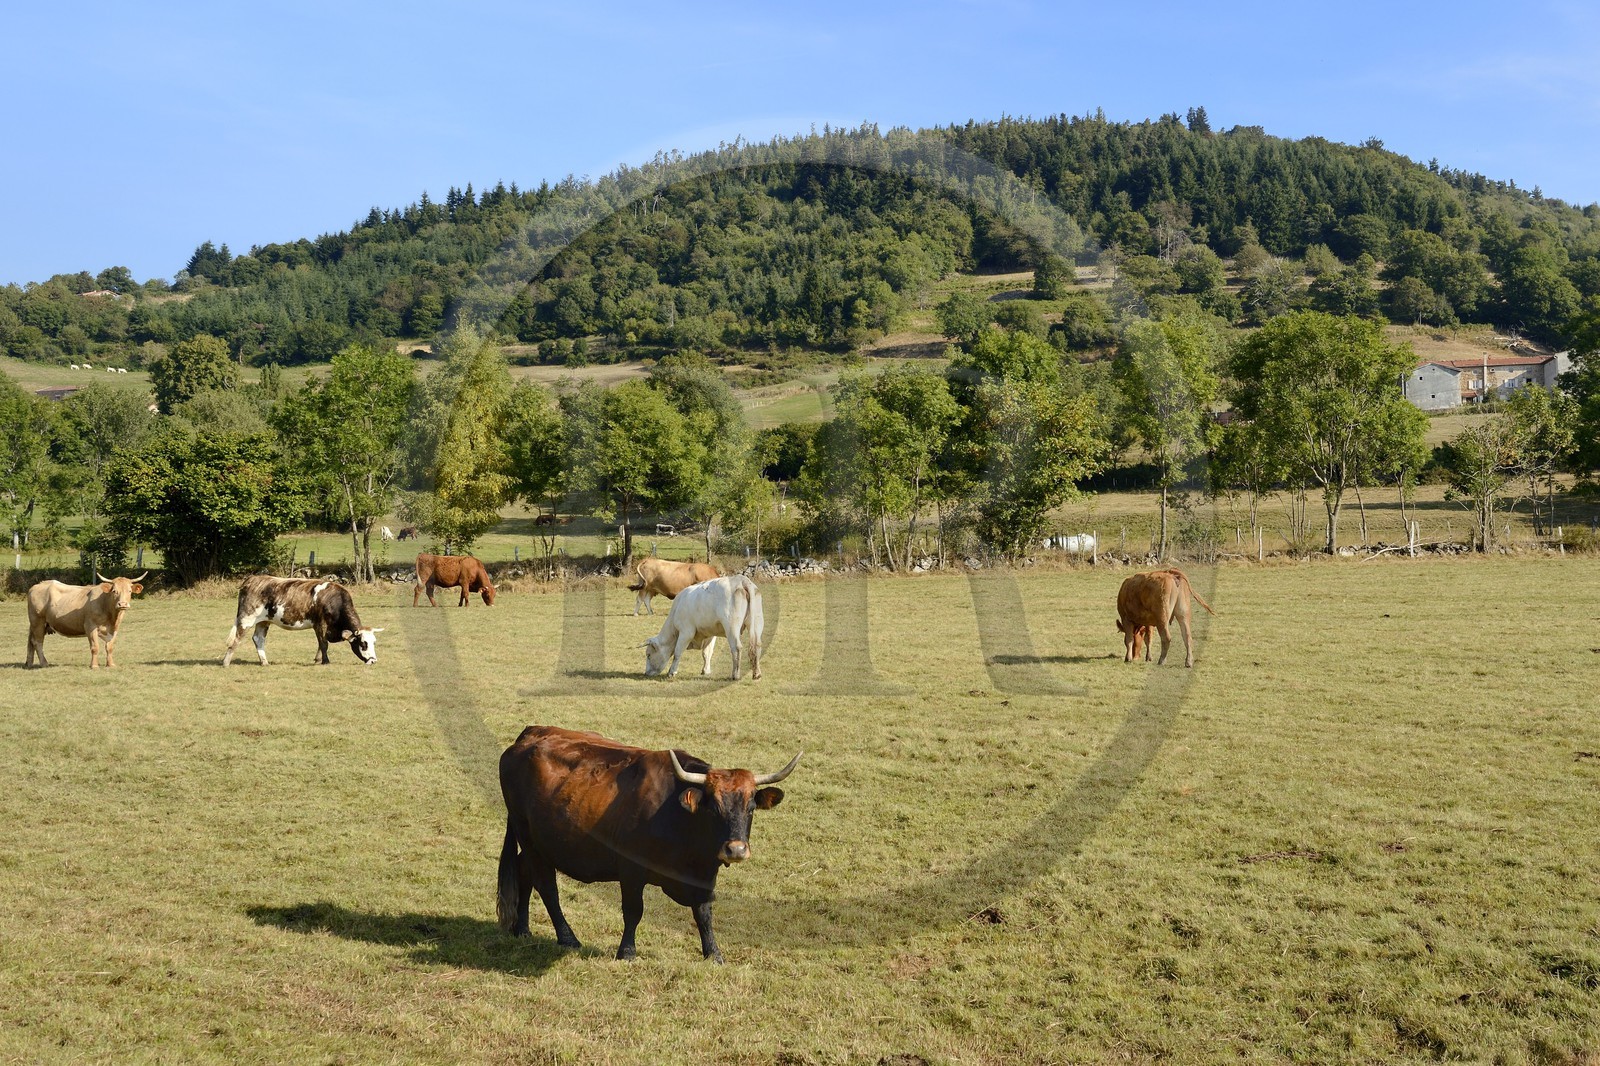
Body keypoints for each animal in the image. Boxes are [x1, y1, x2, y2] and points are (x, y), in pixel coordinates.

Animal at [222, 576, 382, 666]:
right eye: (363, 644)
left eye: (374, 642)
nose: (373, 661)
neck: (334, 600)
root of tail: (252, 580)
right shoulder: (320, 624)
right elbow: (323, 644)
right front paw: (325, 661)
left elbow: (321, 644)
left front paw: (318, 659)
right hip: (246, 618)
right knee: (237, 638)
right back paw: (226, 662)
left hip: (263, 621)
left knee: (258, 639)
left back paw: (264, 662)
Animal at [497, 725, 801, 962]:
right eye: (713, 807)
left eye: (751, 807)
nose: (735, 849)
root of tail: (530, 734)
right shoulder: (631, 870)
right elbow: (634, 911)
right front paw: (627, 952)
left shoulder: (703, 876)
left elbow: (703, 913)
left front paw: (713, 954)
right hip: (529, 838)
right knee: (547, 887)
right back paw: (567, 937)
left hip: (536, 843)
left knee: (525, 873)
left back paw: (522, 929)